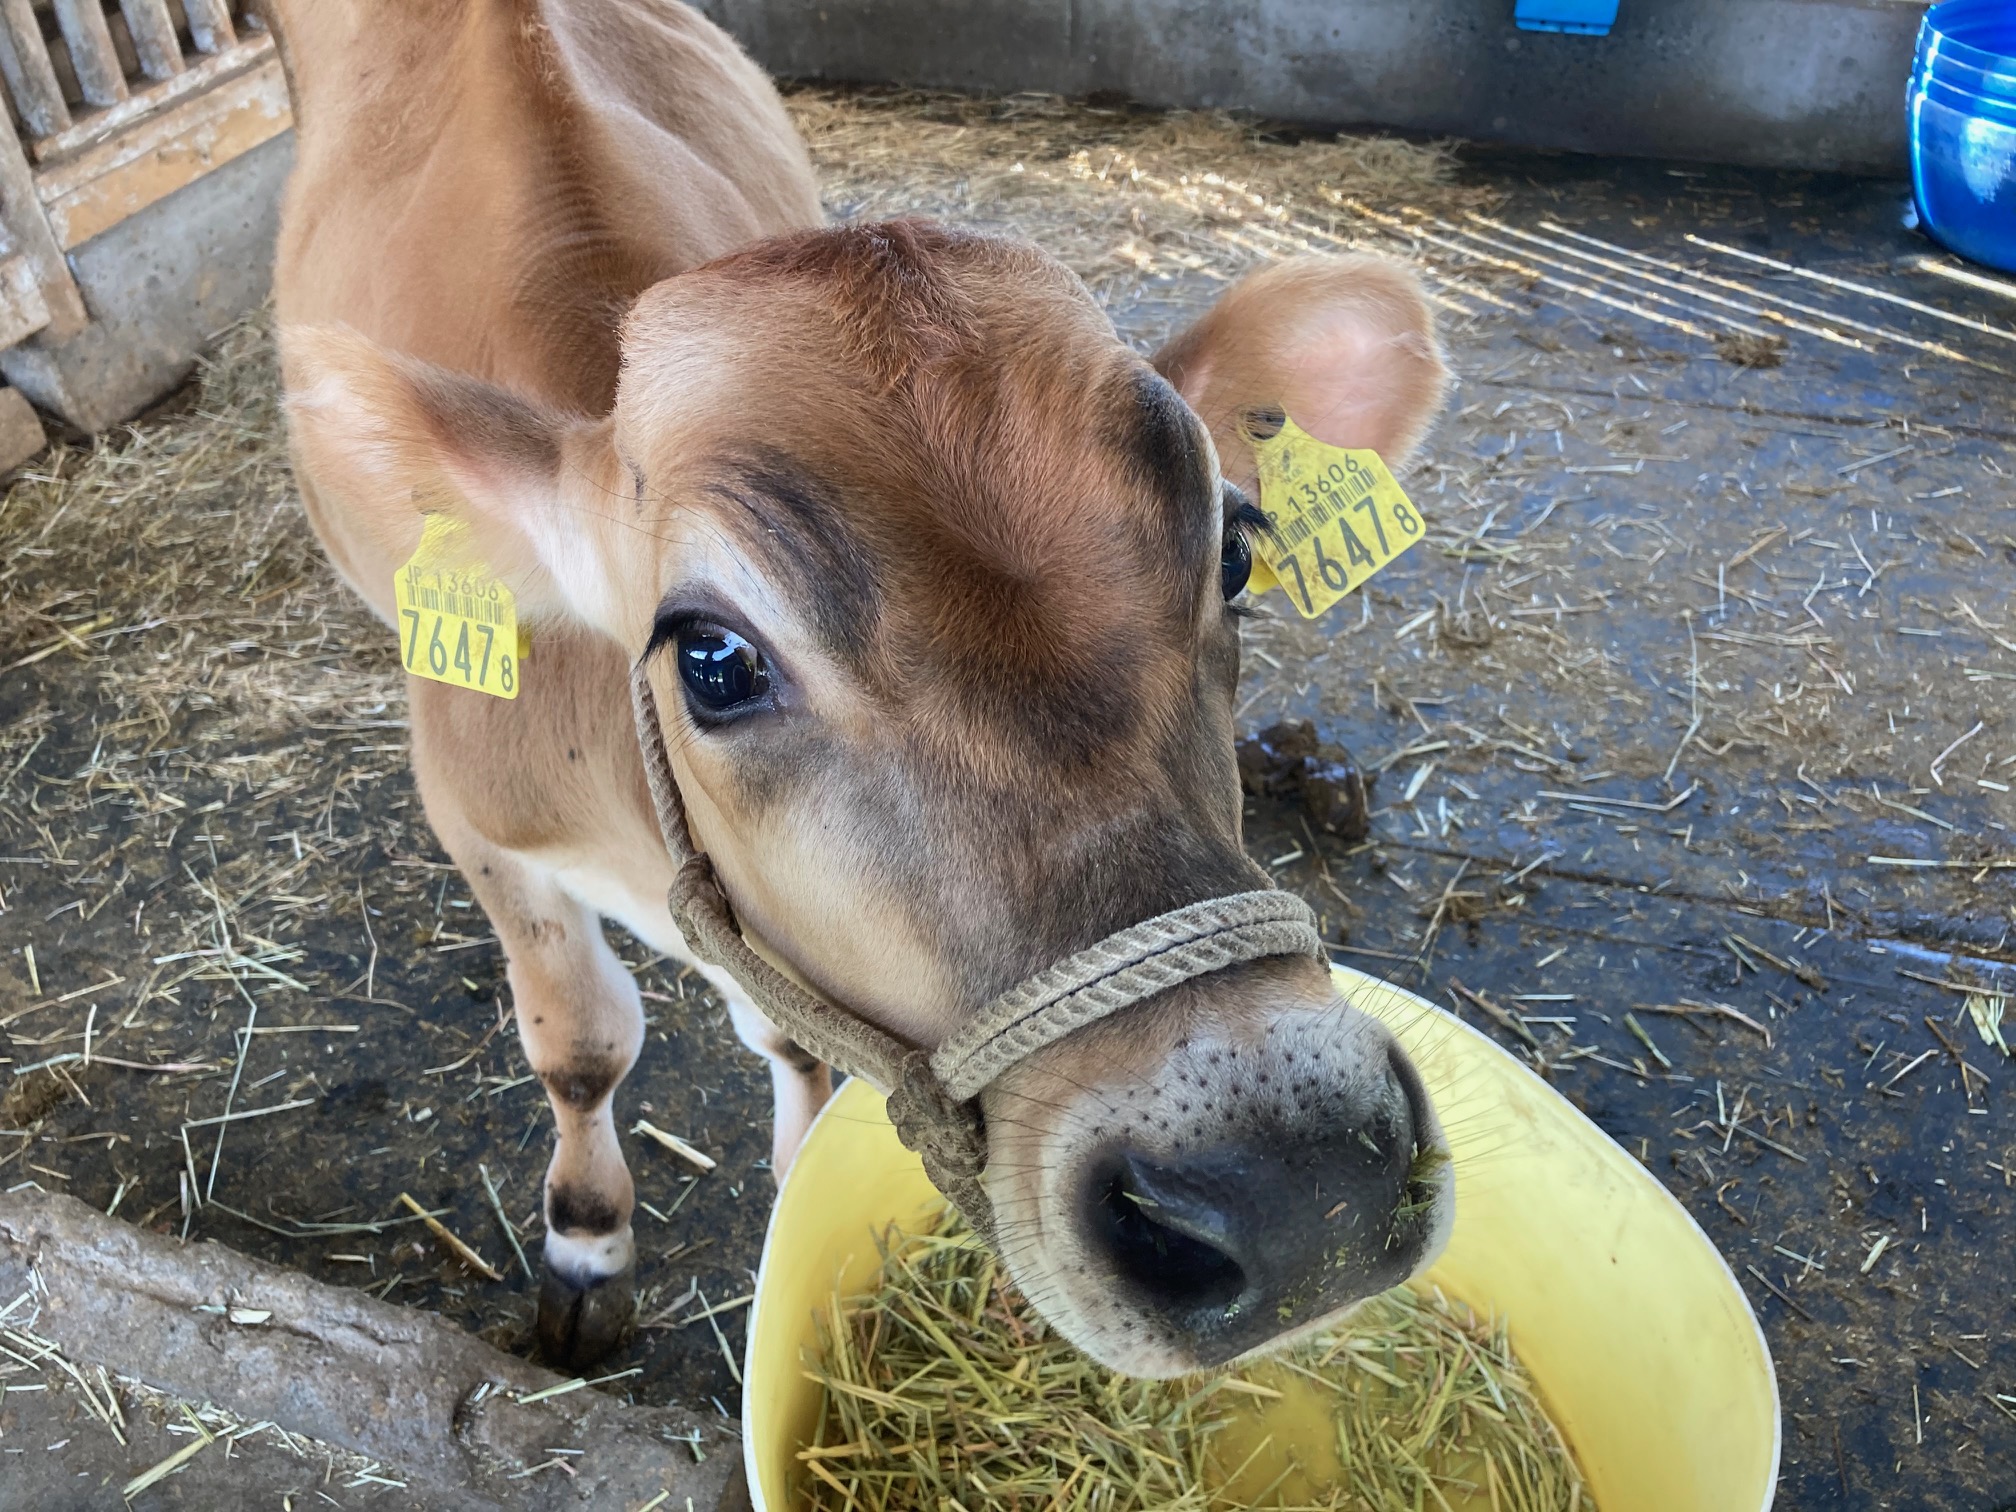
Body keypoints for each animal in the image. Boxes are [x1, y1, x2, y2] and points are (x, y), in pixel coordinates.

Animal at [276, 0, 1459, 1387]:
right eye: (712, 659)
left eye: (1233, 550)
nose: (1298, 1191)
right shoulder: (478, 826)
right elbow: (579, 1048)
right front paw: (584, 1250)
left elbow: (787, 1040)